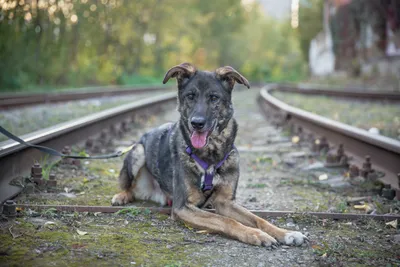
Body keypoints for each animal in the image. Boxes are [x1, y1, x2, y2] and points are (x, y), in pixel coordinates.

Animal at [111, 63, 308, 249]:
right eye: (190, 96)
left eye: (214, 98)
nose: (196, 123)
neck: (211, 155)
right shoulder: (183, 208)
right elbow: (226, 220)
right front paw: (256, 235)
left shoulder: (225, 202)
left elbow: (259, 219)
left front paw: (286, 233)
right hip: (138, 151)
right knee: (130, 187)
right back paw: (121, 196)